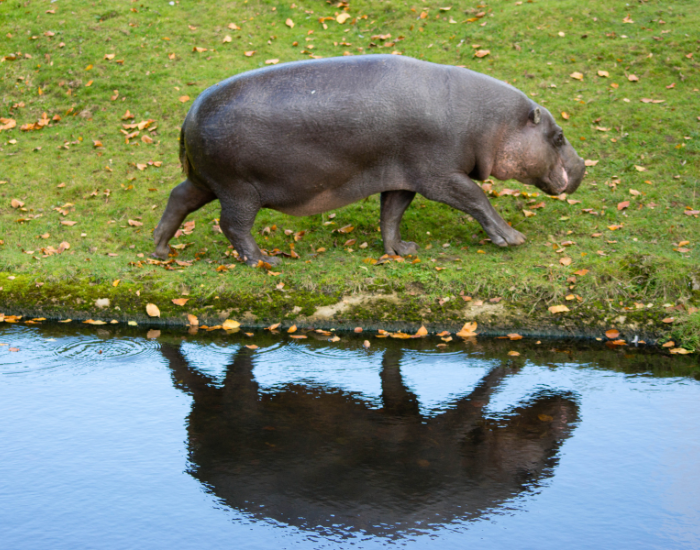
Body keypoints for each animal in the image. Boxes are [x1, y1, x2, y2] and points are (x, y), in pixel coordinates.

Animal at [154, 54, 585, 265]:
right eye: (558, 136)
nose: (582, 167)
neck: (491, 122)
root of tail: (189, 115)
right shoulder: (440, 176)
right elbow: (478, 200)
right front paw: (513, 239)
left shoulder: (402, 176)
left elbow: (391, 214)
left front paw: (402, 251)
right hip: (239, 190)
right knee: (233, 226)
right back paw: (265, 261)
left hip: (209, 181)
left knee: (179, 199)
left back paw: (161, 250)